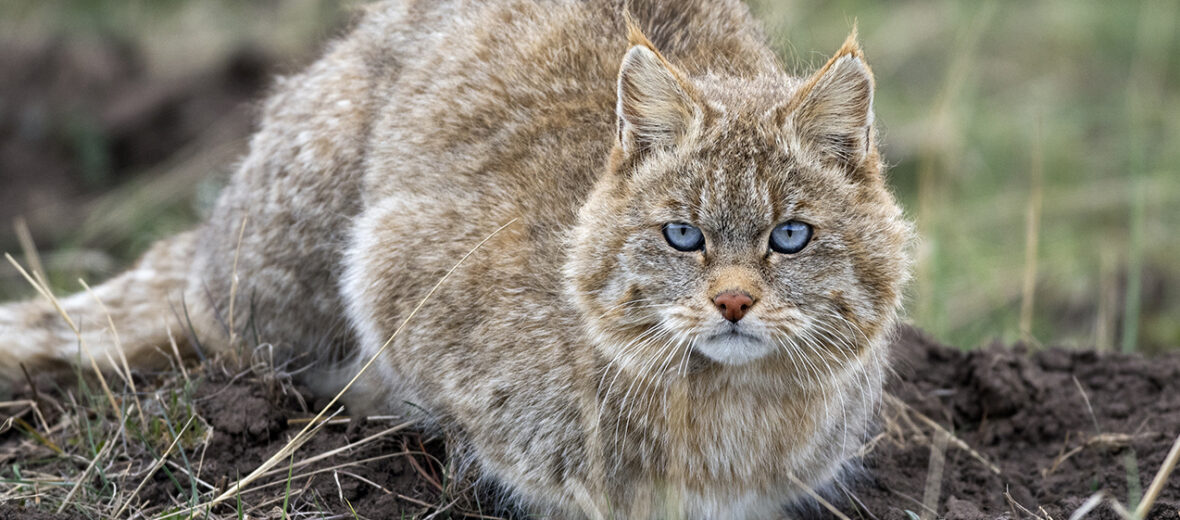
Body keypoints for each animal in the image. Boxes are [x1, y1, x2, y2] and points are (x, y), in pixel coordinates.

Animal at [0, 2, 910, 516]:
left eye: (789, 236)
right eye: (681, 236)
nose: (732, 304)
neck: (730, 403)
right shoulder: (389, 258)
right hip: (281, 267)